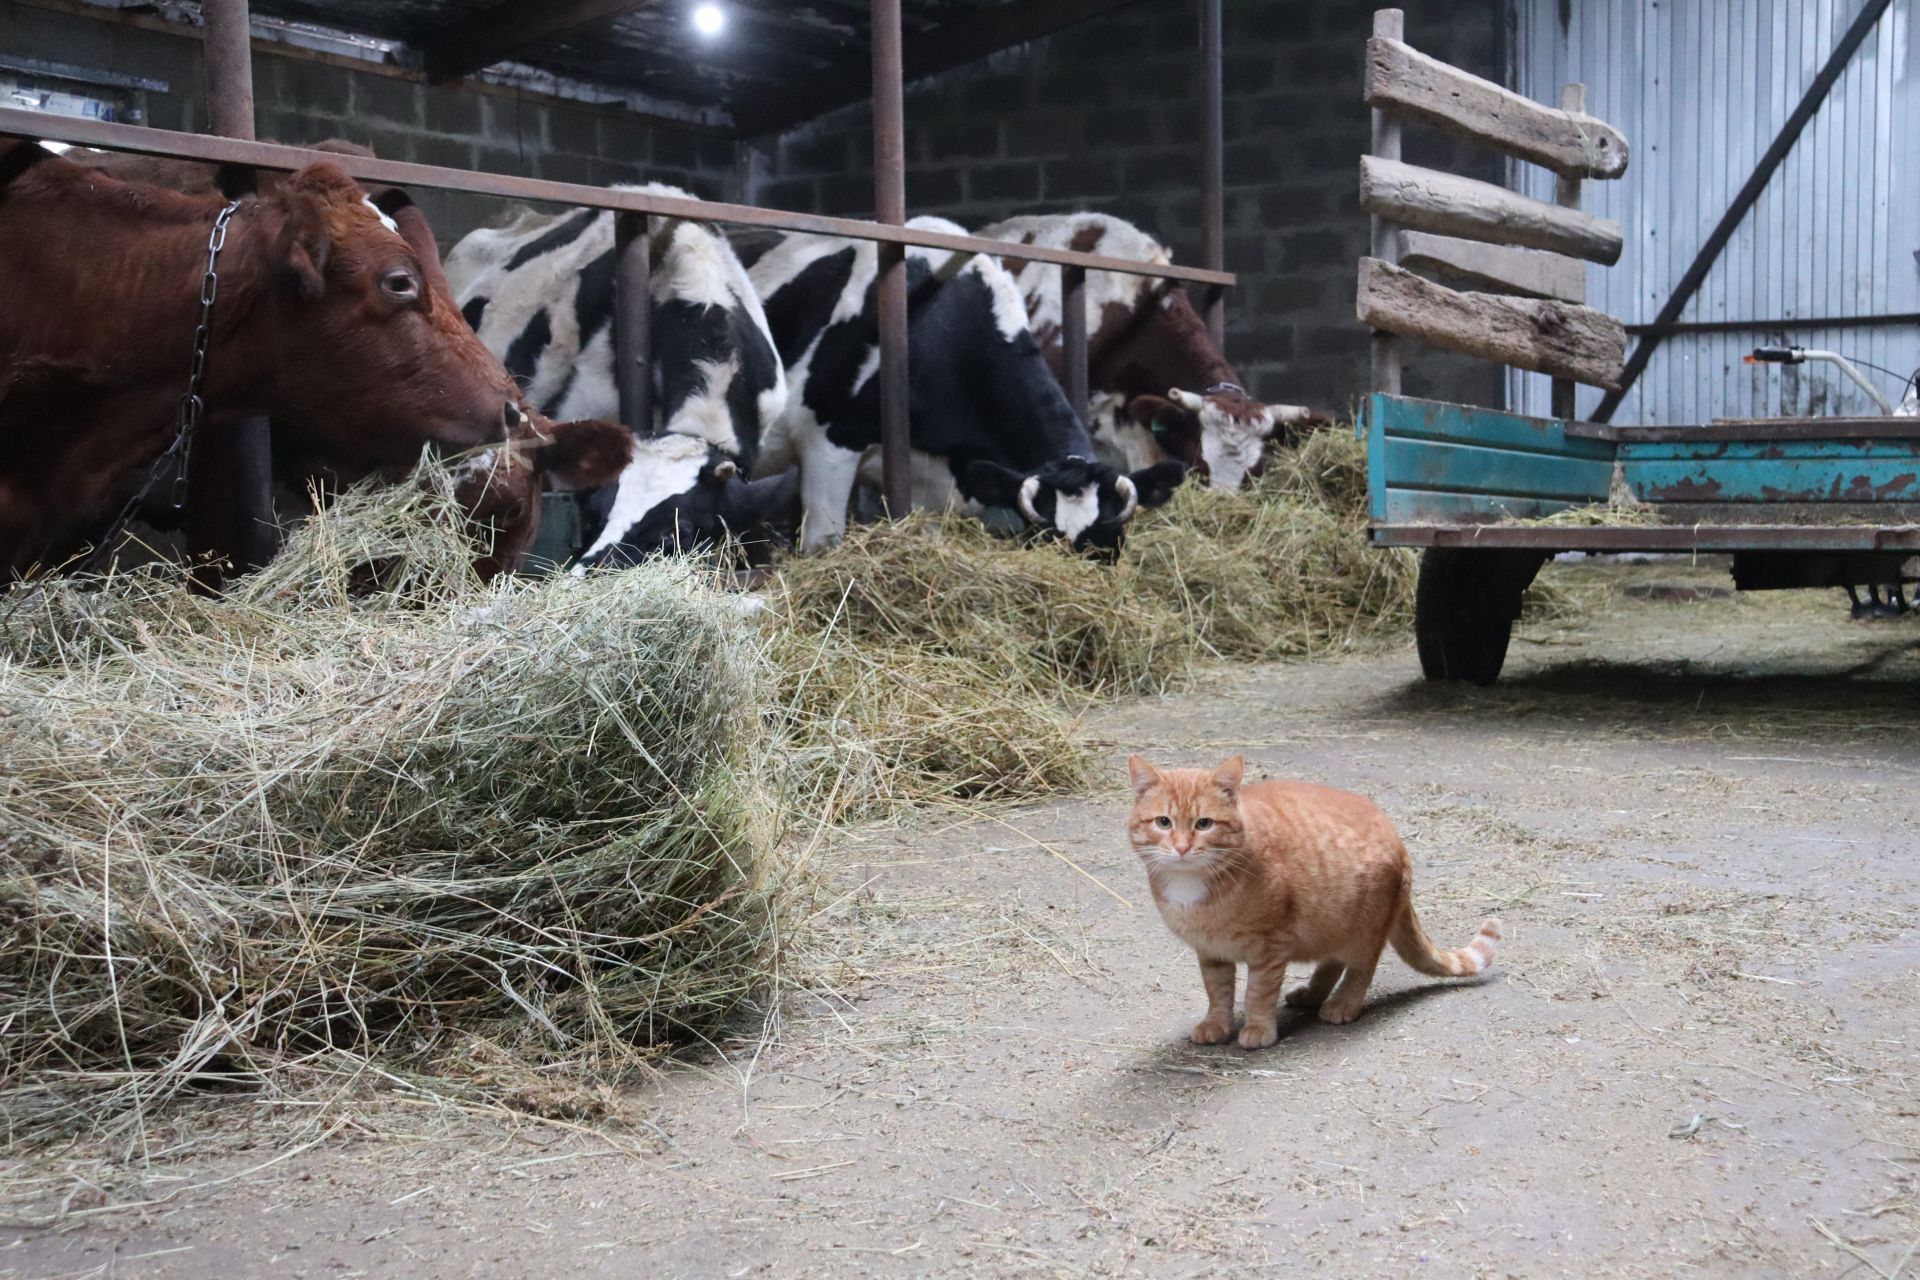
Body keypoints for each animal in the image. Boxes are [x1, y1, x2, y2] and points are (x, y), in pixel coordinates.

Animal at [1121, 756, 1497, 1043]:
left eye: (1204, 824)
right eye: (1163, 822)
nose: (1183, 848)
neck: (1192, 884)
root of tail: (1400, 843)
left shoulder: (1270, 947)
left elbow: (1258, 992)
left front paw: (1258, 1028)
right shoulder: (1211, 952)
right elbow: (1218, 992)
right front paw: (1217, 1024)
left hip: (1365, 927)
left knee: (1360, 967)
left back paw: (1342, 1004)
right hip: (1333, 922)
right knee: (1332, 961)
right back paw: (1312, 994)